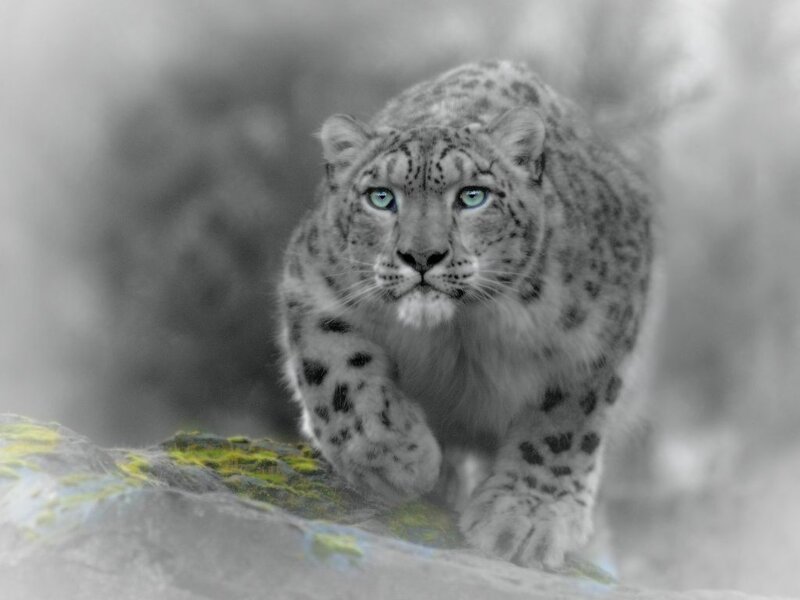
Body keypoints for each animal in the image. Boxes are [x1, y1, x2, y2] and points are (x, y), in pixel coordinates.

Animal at [277, 60, 653, 568]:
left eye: (473, 196)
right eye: (381, 197)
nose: (421, 256)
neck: (460, 333)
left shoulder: (598, 335)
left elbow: (565, 423)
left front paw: (526, 518)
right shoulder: (313, 284)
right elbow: (337, 371)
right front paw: (395, 455)